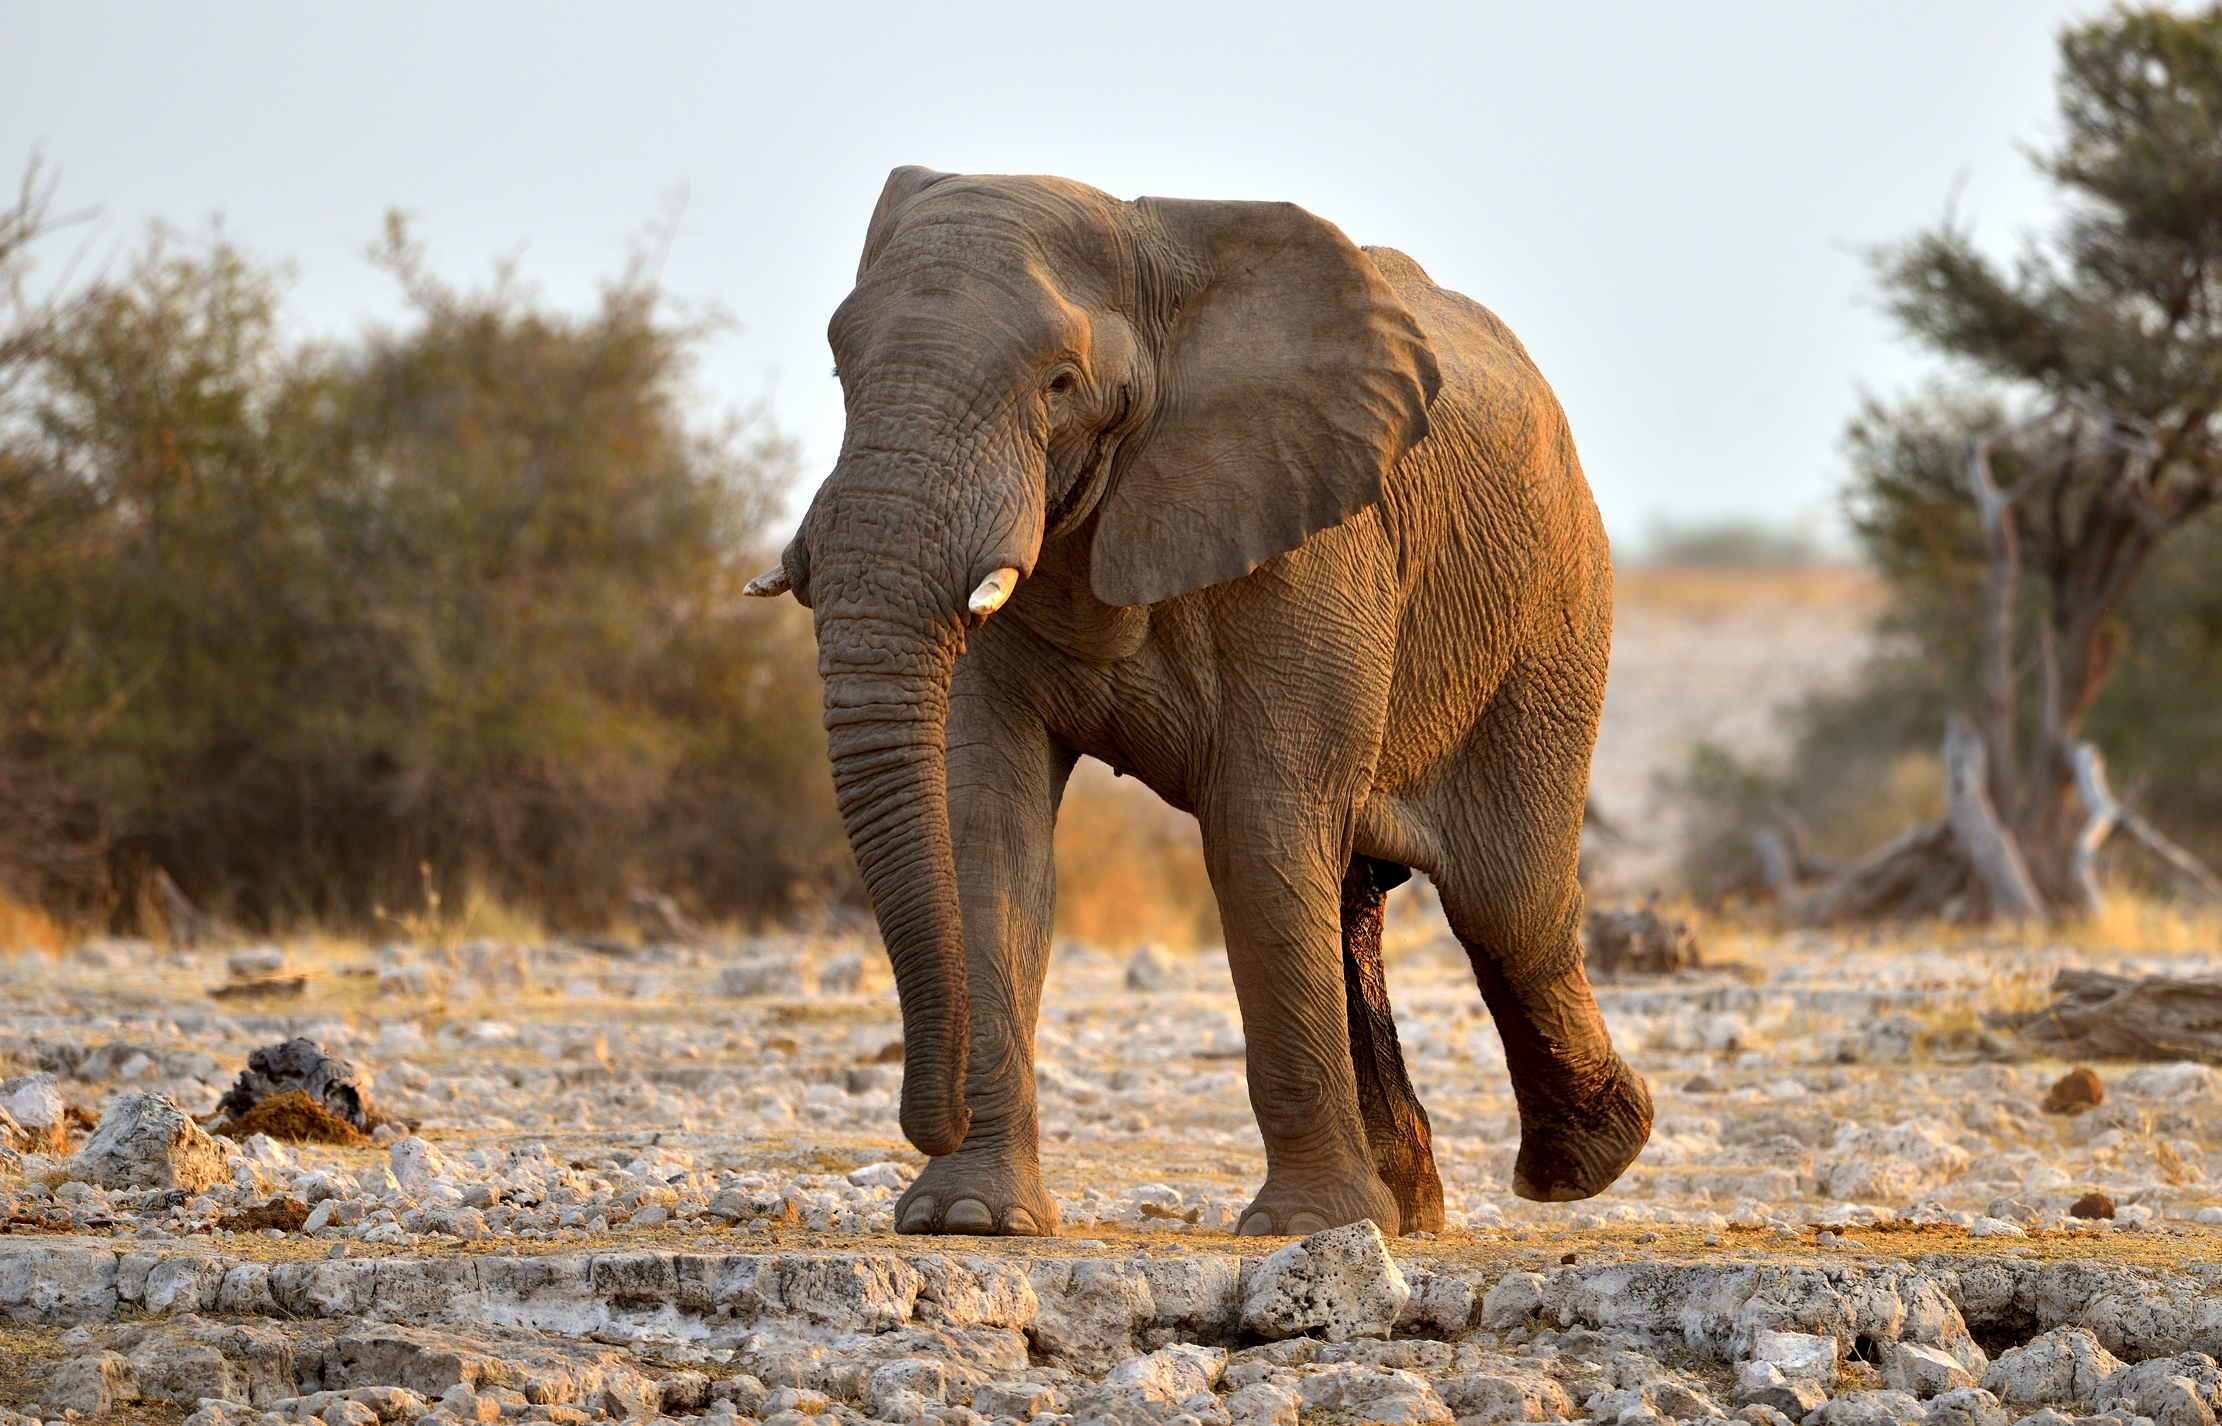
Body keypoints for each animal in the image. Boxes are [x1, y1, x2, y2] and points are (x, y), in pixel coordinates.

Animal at [746, 166, 1652, 1238]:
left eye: (1060, 383)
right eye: (840, 368)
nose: (932, 1111)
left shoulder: (1312, 530)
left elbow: (1260, 827)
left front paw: (1304, 1230)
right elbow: (985, 827)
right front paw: (968, 1218)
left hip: (1556, 614)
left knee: (1505, 903)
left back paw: (1586, 1162)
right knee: (1360, 894)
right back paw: (1409, 1210)